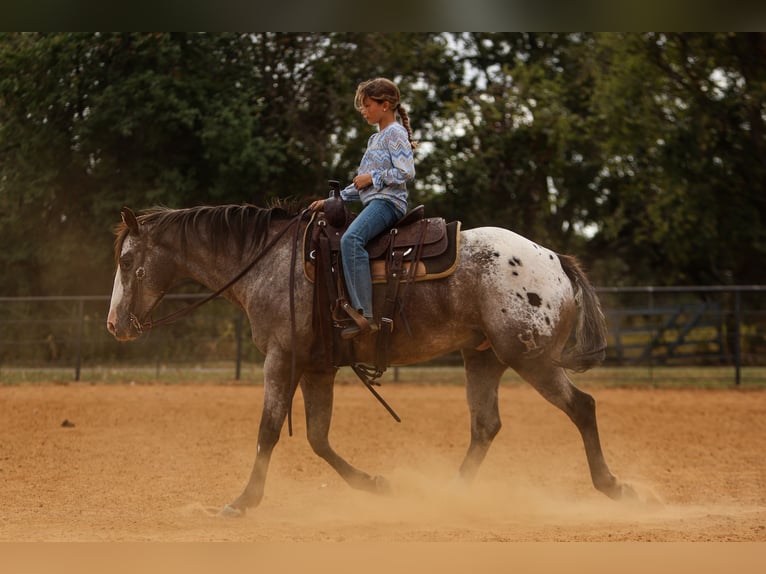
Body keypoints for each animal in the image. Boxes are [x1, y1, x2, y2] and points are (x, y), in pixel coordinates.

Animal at [106, 205, 636, 520]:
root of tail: (553, 259)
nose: (114, 325)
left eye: (127, 261)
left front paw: (243, 501)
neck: (270, 264)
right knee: (486, 425)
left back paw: (612, 486)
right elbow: (317, 438)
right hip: (482, 357)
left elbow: (270, 429)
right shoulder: (317, 367)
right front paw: (376, 485)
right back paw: (450, 496)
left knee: (582, 407)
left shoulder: (282, 357)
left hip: (532, 358)